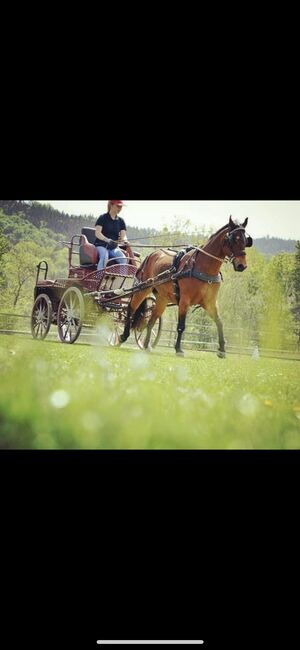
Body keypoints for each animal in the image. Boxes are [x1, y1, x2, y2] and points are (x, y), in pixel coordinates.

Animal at [119, 215, 253, 356]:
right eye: (234, 239)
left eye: (246, 240)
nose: (242, 265)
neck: (202, 266)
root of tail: (152, 254)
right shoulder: (184, 301)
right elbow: (181, 326)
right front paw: (178, 349)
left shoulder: (210, 303)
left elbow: (219, 322)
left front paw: (222, 349)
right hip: (143, 289)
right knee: (131, 308)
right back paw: (123, 336)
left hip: (162, 298)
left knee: (151, 320)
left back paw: (146, 345)